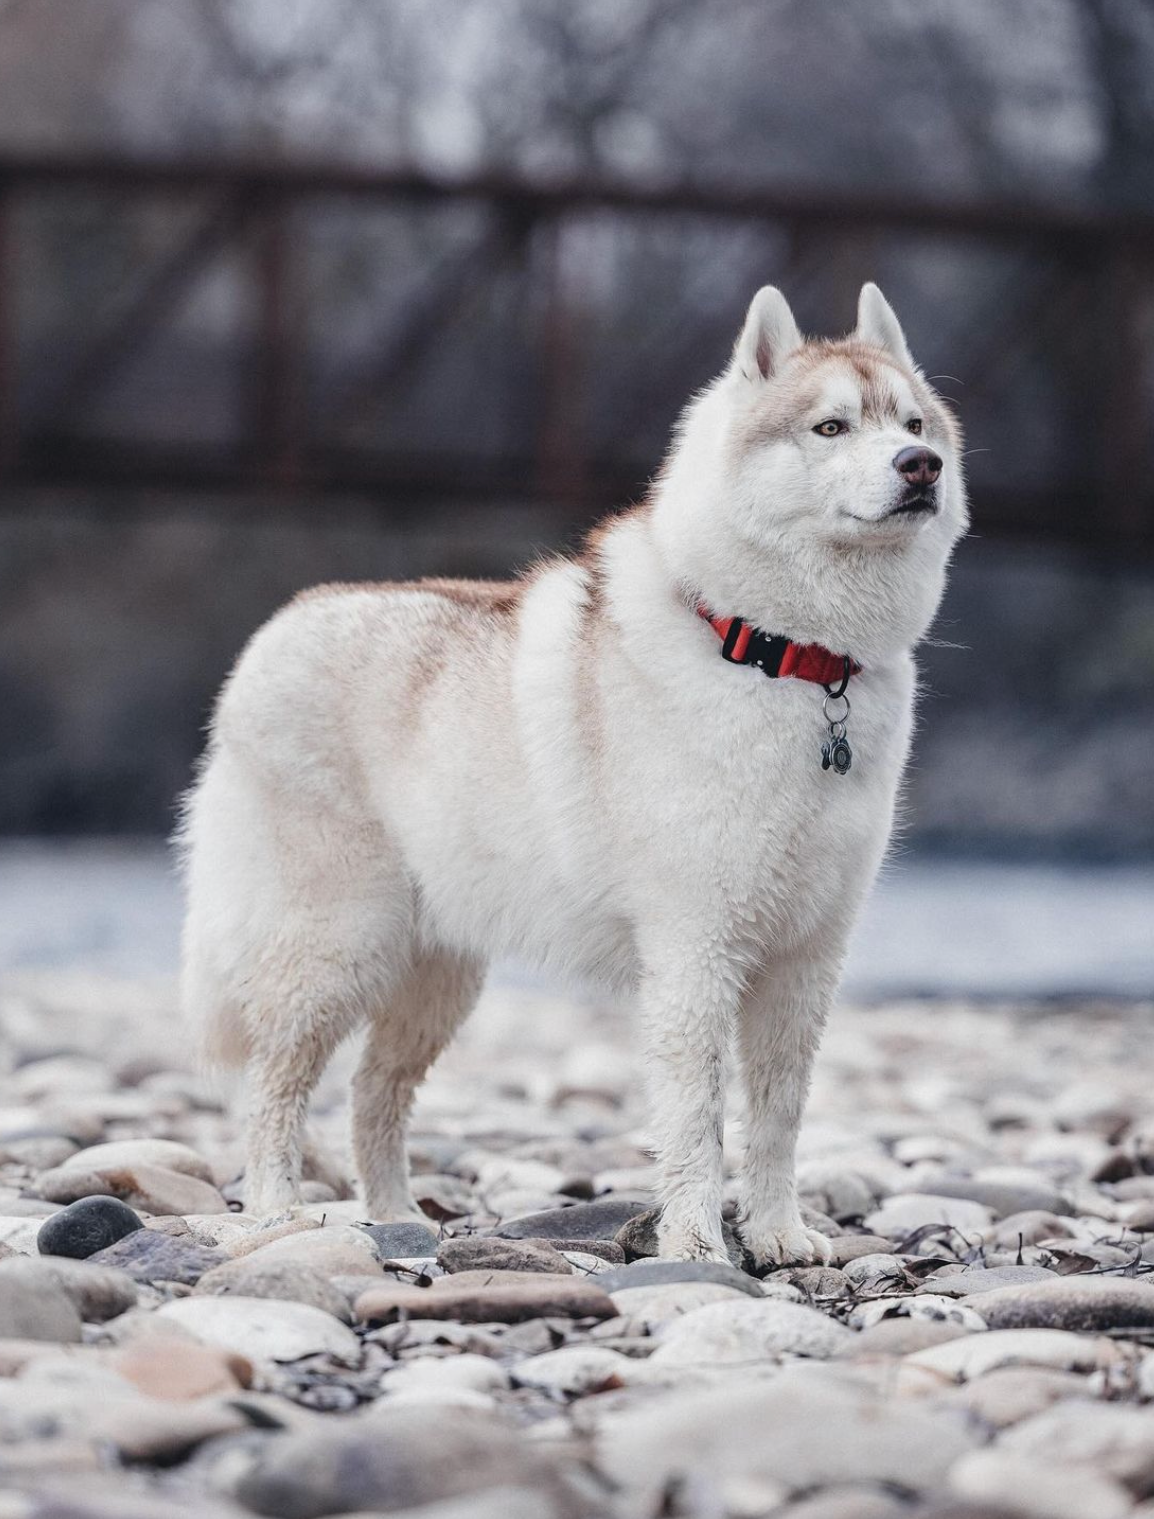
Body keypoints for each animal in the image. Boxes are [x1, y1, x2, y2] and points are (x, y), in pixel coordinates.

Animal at [178, 287, 965, 1269]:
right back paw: (278, 1214)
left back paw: (396, 1219)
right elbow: (697, 1117)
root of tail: (276, 631)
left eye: (912, 423)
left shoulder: (806, 958)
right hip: (332, 951)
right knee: (273, 1089)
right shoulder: (694, 951)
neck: (789, 659)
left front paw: (781, 1234)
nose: (921, 466)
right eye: (831, 426)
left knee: (373, 1095)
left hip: (435, 978)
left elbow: (780, 1113)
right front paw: (697, 1246)